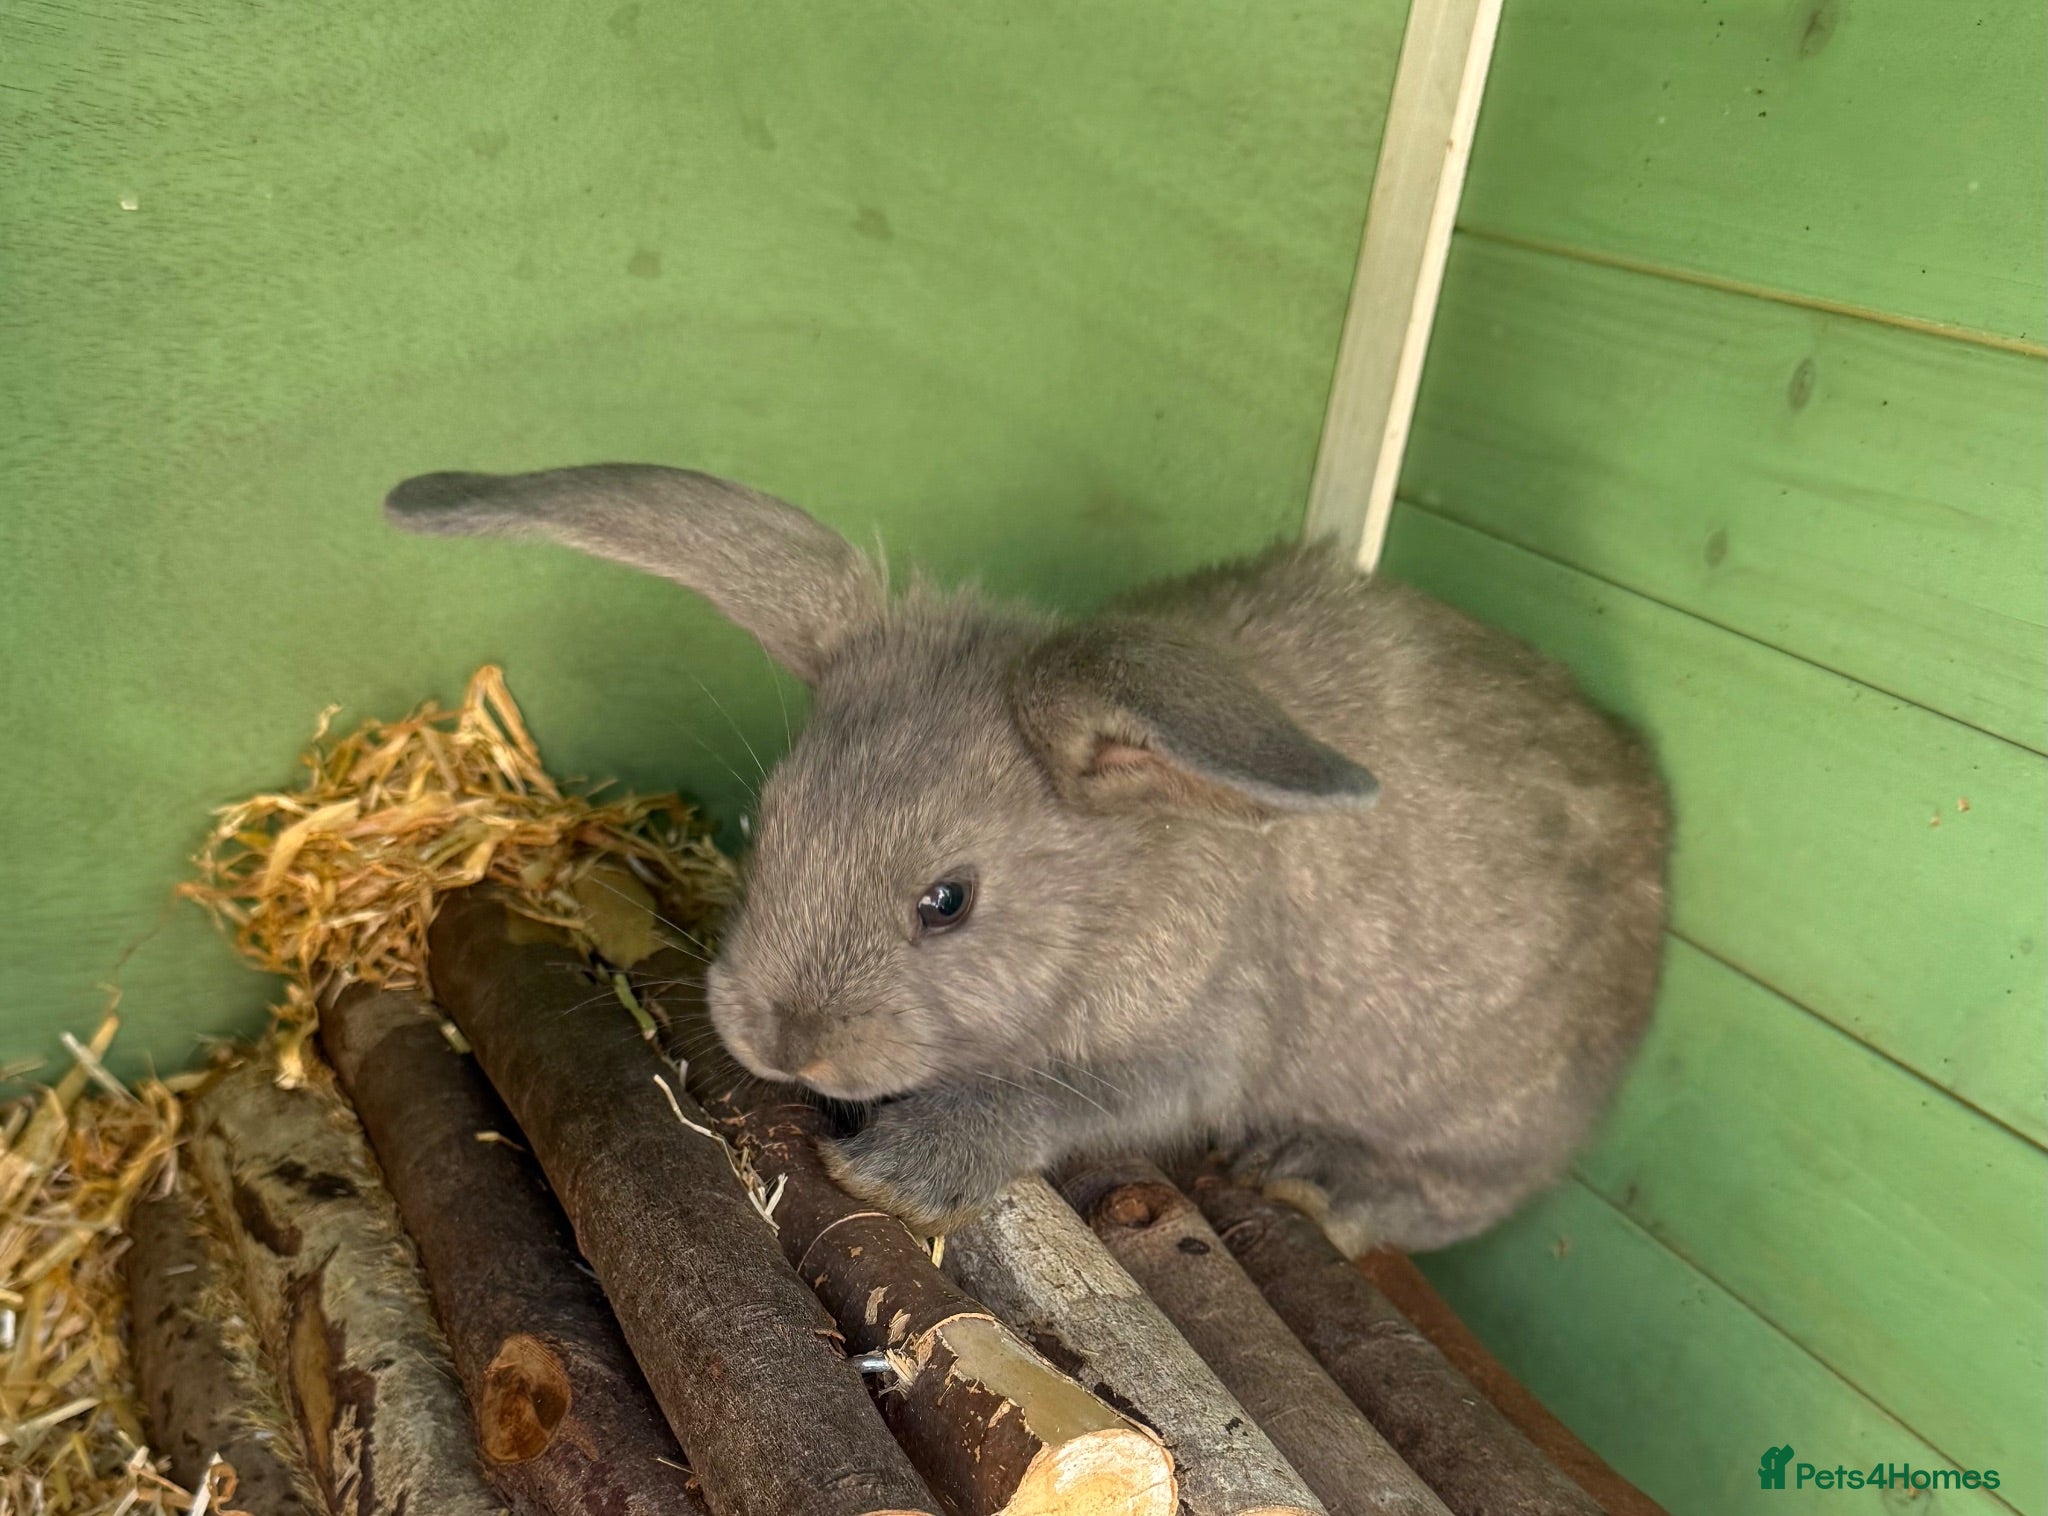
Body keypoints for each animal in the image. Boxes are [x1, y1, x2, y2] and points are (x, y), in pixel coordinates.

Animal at [385, 463, 1667, 1254]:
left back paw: (1320, 1176)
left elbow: (1052, 1091)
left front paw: (898, 1169)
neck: (1111, 889)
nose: (783, 1039)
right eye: (766, 822)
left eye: (946, 902)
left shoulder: (1198, 1039)